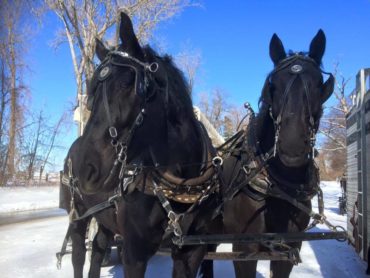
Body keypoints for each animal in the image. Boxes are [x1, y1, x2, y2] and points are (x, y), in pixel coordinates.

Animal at [67, 11, 221, 276]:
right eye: (92, 92)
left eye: (126, 84)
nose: (83, 166)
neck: (180, 185)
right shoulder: (134, 254)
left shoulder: (192, 251)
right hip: (79, 214)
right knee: (78, 255)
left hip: (105, 219)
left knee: (97, 250)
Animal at [217, 30, 332, 278]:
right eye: (273, 86)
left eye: (319, 84)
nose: (292, 145)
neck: (279, 188)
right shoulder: (243, 250)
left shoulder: (288, 249)